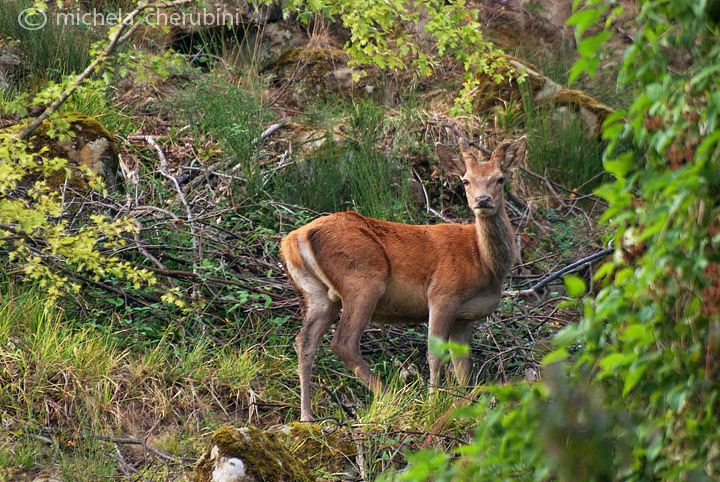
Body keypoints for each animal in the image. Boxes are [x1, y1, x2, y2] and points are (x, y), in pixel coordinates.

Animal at [278, 137, 524, 422]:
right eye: (465, 180)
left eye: (500, 179)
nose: (482, 200)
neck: (485, 264)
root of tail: (293, 239)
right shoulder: (443, 293)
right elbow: (434, 355)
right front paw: (432, 406)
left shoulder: (466, 317)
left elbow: (463, 367)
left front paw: (466, 407)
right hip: (362, 280)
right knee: (343, 343)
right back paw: (392, 398)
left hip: (319, 295)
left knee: (304, 342)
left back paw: (306, 415)